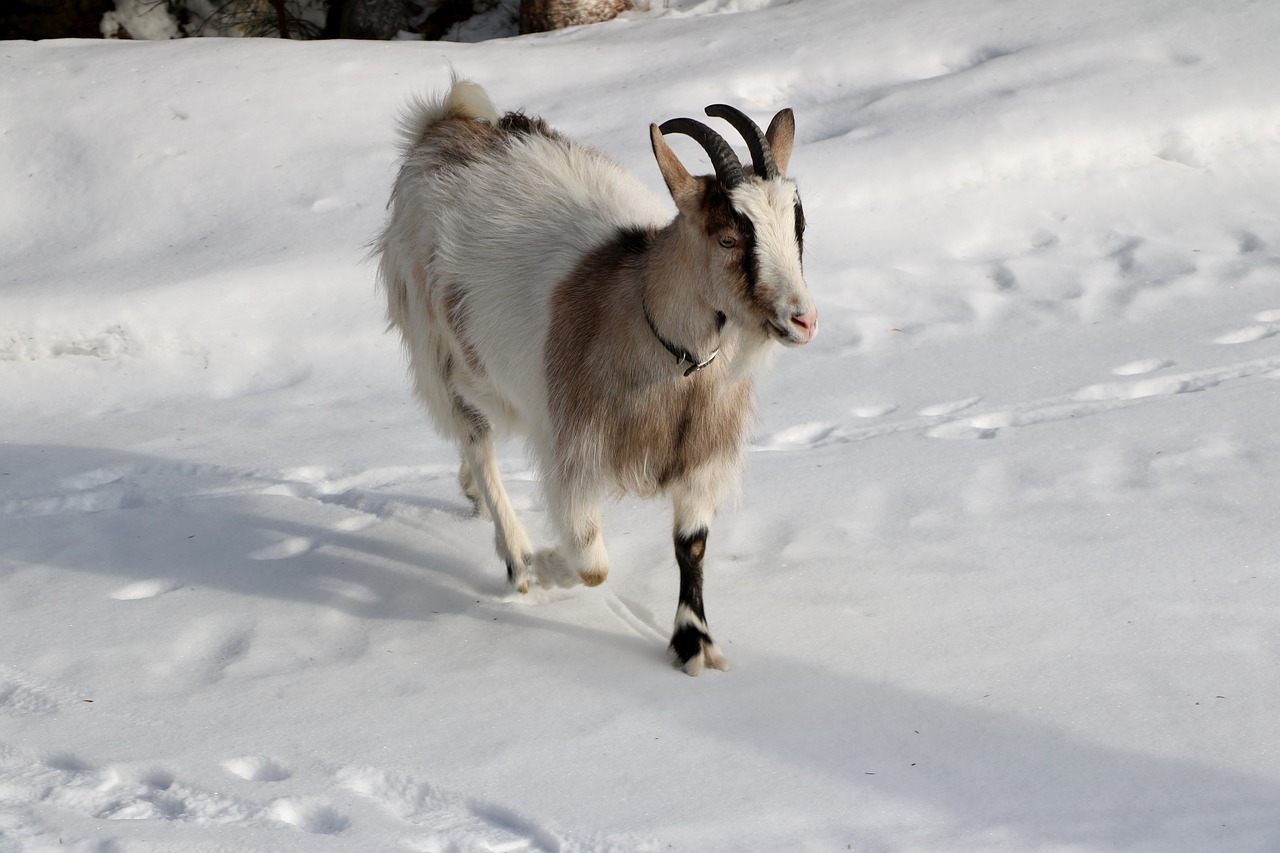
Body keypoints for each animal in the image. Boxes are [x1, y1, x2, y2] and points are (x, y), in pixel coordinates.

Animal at [371, 78, 814, 671]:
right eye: (727, 237)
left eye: (798, 224)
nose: (803, 319)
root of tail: (441, 126)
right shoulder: (573, 455)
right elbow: (592, 563)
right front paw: (544, 565)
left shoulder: (702, 456)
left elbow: (691, 545)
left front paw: (693, 643)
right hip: (434, 348)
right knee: (476, 439)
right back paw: (516, 558)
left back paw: (471, 498)